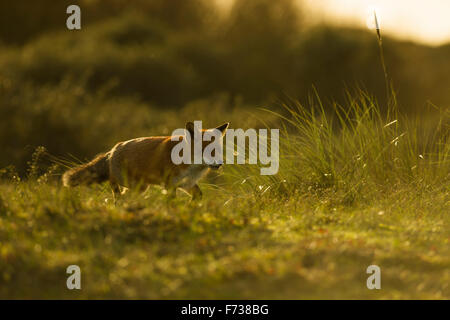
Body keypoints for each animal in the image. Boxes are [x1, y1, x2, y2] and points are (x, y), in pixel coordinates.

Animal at [62, 122, 229, 199]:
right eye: (207, 151)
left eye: (218, 149)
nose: (220, 164)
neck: (191, 166)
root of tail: (114, 148)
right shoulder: (170, 184)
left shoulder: (187, 184)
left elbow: (198, 197)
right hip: (134, 185)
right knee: (116, 189)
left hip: (140, 188)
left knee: (124, 197)